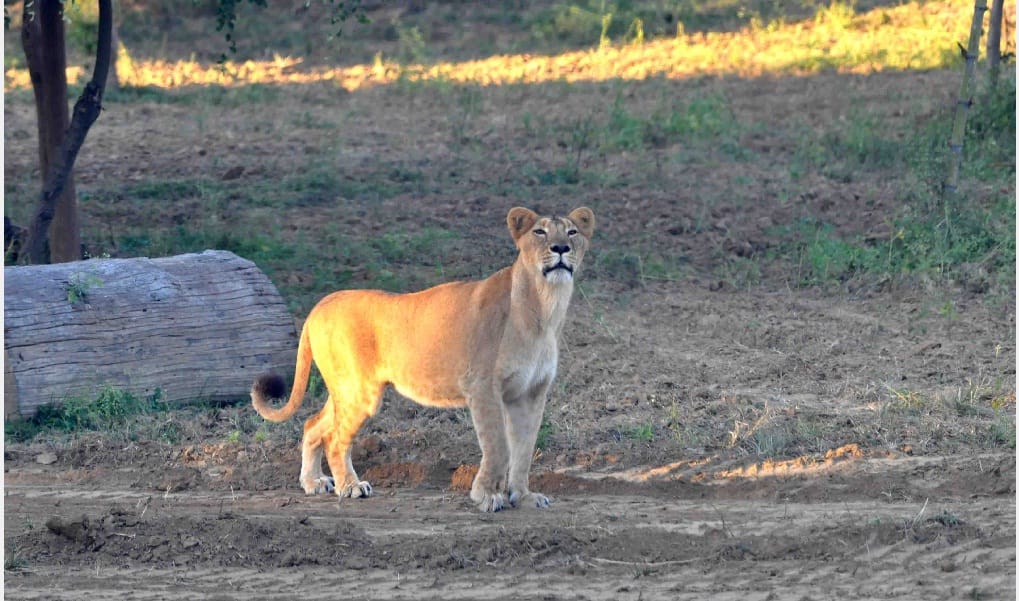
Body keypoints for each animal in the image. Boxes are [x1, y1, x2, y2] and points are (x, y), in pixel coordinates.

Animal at [251, 206, 595, 512]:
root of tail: (322, 303)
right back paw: (350, 486)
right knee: (336, 439)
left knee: (313, 424)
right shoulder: (482, 387)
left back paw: (314, 482)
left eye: (572, 232)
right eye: (540, 232)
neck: (544, 307)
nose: (560, 248)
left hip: (346, 390)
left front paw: (523, 497)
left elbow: (524, 449)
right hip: (360, 393)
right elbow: (497, 445)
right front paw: (486, 496)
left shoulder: (531, 394)